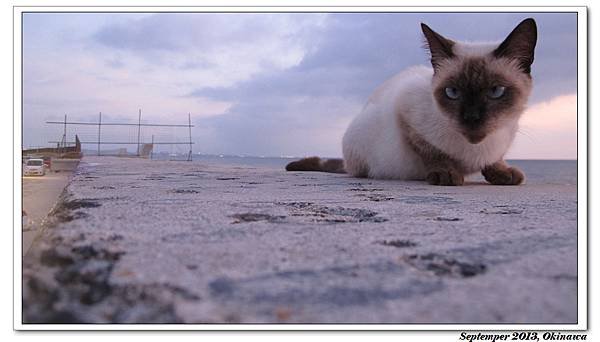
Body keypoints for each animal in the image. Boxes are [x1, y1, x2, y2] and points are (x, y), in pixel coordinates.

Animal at [286, 17, 540, 186]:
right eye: (452, 92)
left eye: (496, 91)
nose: (472, 118)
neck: (477, 149)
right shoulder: (406, 116)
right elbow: (432, 153)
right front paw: (447, 174)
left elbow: (496, 159)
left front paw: (503, 174)